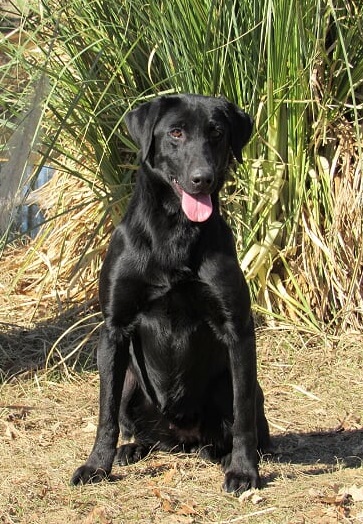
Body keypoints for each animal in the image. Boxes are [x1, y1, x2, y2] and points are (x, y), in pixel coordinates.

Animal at [72, 95, 270, 496]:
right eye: (175, 133)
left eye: (217, 133)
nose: (202, 178)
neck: (175, 231)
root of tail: (183, 439)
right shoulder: (114, 328)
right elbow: (105, 414)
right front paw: (97, 465)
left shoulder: (238, 330)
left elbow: (242, 415)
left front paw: (244, 471)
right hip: (128, 378)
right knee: (140, 429)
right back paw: (132, 449)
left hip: (231, 383)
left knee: (243, 424)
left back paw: (222, 454)